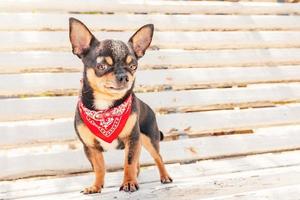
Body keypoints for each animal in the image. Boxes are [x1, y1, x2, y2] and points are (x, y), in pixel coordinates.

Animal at [67, 18, 171, 195]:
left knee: (158, 158)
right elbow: (99, 168)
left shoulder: (132, 138)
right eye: (101, 66)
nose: (124, 76)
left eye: (133, 66)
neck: (106, 108)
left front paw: (128, 183)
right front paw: (96, 186)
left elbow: (128, 163)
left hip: (150, 139)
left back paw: (164, 176)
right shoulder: (90, 147)